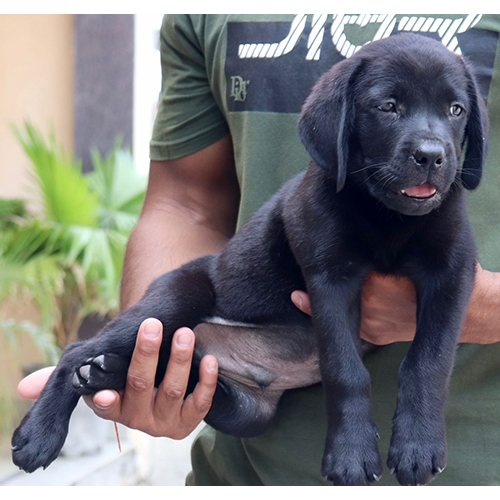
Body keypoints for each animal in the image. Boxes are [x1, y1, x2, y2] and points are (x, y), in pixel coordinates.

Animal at [12, 33, 488, 486]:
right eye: (388, 106)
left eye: (456, 109)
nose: (432, 156)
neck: (388, 217)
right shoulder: (330, 279)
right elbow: (346, 369)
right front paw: (351, 454)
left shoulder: (452, 275)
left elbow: (428, 361)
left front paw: (417, 445)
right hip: (171, 304)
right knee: (76, 348)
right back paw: (41, 432)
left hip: (242, 410)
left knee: (183, 377)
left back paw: (106, 373)